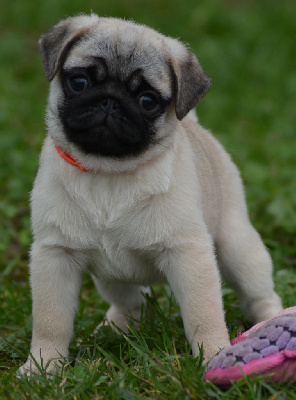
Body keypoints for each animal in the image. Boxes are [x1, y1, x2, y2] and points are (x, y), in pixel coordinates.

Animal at [17, 13, 282, 376]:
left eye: (147, 101)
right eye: (80, 82)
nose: (110, 101)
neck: (108, 173)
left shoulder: (189, 256)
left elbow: (203, 315)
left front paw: (214, 356)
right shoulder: (55, 255)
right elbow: (50, 321)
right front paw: (42, 366)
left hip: (239, 248)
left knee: (259, 292)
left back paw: (272, 321)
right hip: (109, 277)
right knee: (130, 300)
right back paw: (116, 326)